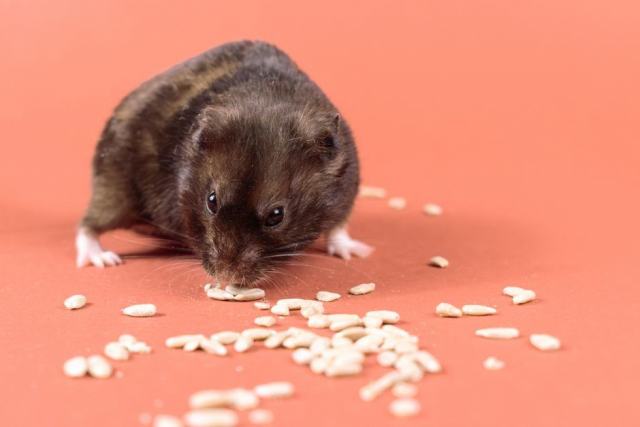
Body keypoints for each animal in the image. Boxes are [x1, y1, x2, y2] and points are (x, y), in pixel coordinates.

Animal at [76, 40, 372, 286]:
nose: (225, 278)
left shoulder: (346, 188)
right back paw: (102, 259)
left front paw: (358, 252)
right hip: (115, 179)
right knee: (90, 224)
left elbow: (337, 228)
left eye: (277, 215)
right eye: (211, 201)